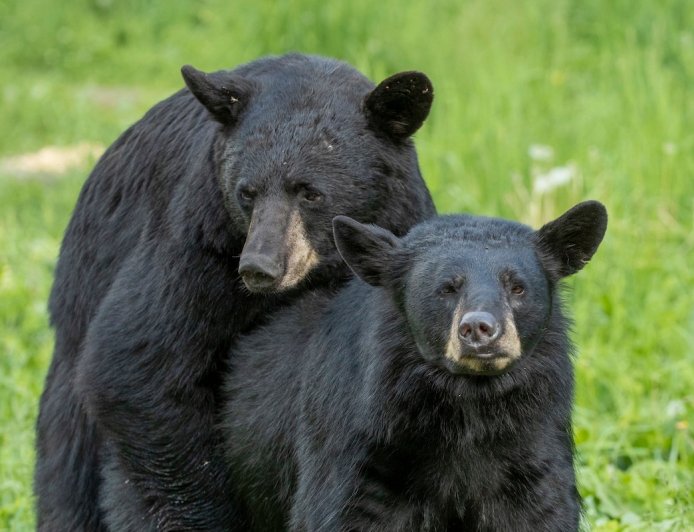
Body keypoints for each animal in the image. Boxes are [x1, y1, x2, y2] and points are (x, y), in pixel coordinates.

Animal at [34, 53, 436, 531]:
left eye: (310, 192)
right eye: (248, 192)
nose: (260, 266)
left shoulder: (396, 227)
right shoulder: (198, 239)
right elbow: (138, 362)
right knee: (70, 463)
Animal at [222, 201, 608, 531]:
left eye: (517, 287)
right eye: (446, 288)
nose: (479, 328)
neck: (470, 407)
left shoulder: (532, 443)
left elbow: (541, 511)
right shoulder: (360, 444)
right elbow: (344, 512)